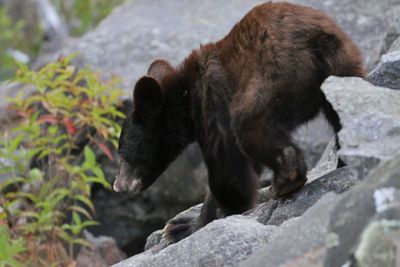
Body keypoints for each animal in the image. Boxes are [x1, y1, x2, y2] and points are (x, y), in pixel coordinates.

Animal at [112, 1, 366, 245]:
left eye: (122, 153)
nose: (117, 185)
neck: (186, 97)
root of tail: (317, 39)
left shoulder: (212, 103)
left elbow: (227, 168)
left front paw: (185, 226)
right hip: (345, 69)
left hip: (269, 82)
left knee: (251, 129)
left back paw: (285, 181)